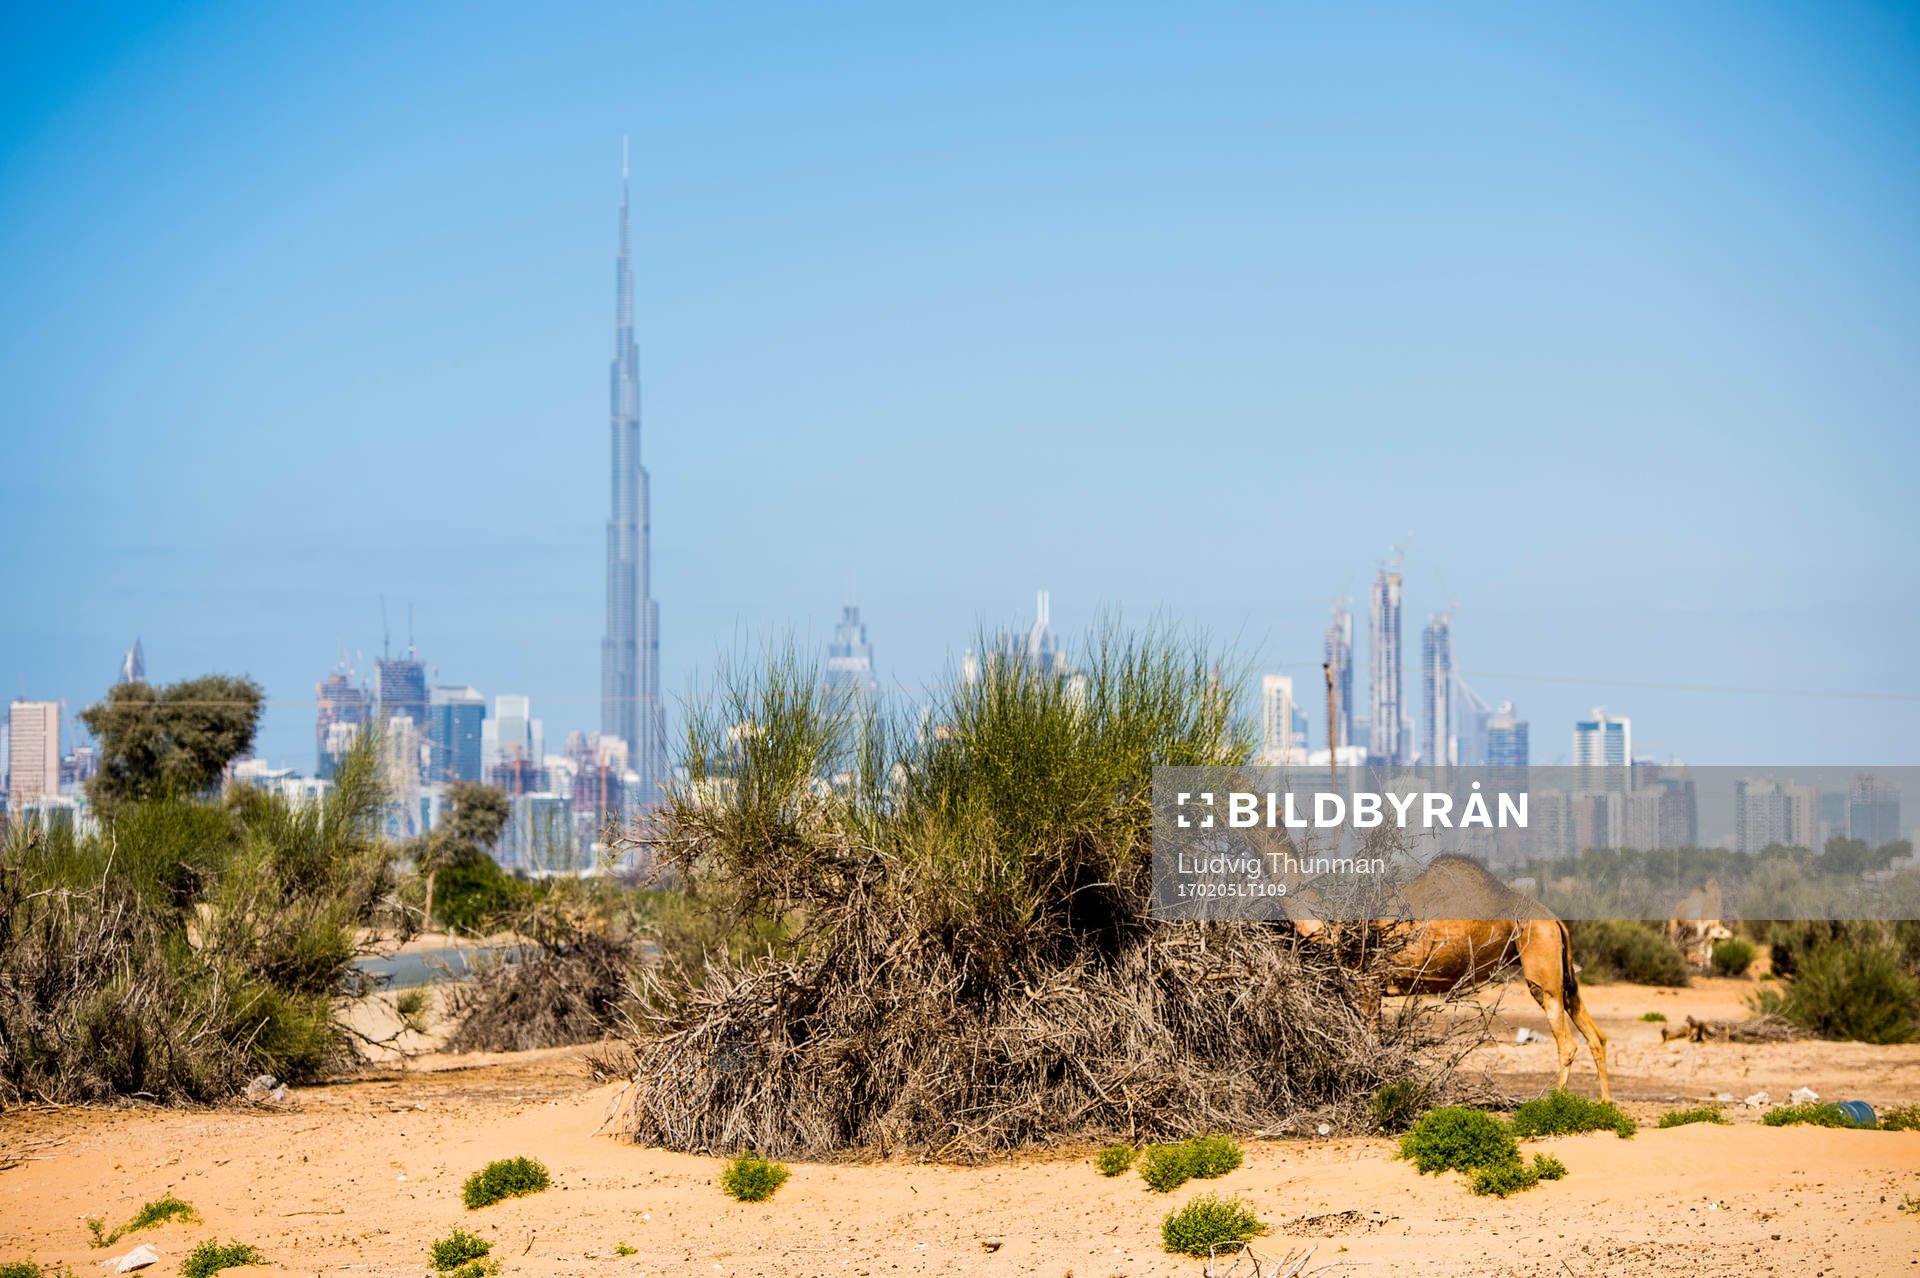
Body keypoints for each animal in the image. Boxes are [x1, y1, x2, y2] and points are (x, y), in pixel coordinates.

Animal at [1290, 856, 1611, 1101]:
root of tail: (1555, 920)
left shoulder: (1366, 982)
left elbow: (1370, 1042)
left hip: (1541, 965)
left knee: (1567, 1042)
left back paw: (1554, 1104)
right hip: (1562, 972)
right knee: (1595, 1034)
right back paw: (1606, 1105)